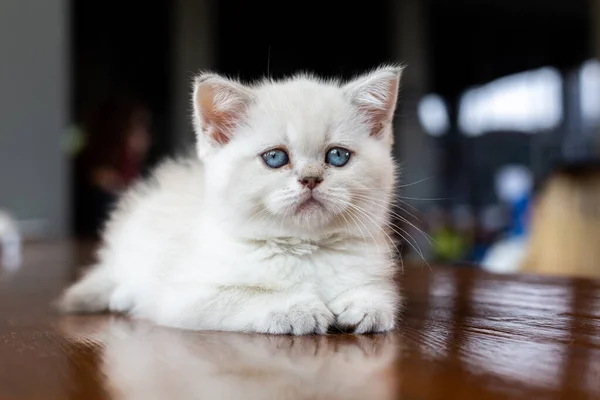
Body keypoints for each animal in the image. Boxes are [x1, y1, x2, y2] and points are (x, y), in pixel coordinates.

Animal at [59, 65, 404, 334]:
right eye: (275, 158)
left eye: (337, 156)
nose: (310, 179)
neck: (304, 250)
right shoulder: (182, 299)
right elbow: (241, 297)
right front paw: (297, 309)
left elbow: (380, 294)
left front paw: (367, 306)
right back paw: (121, 296)